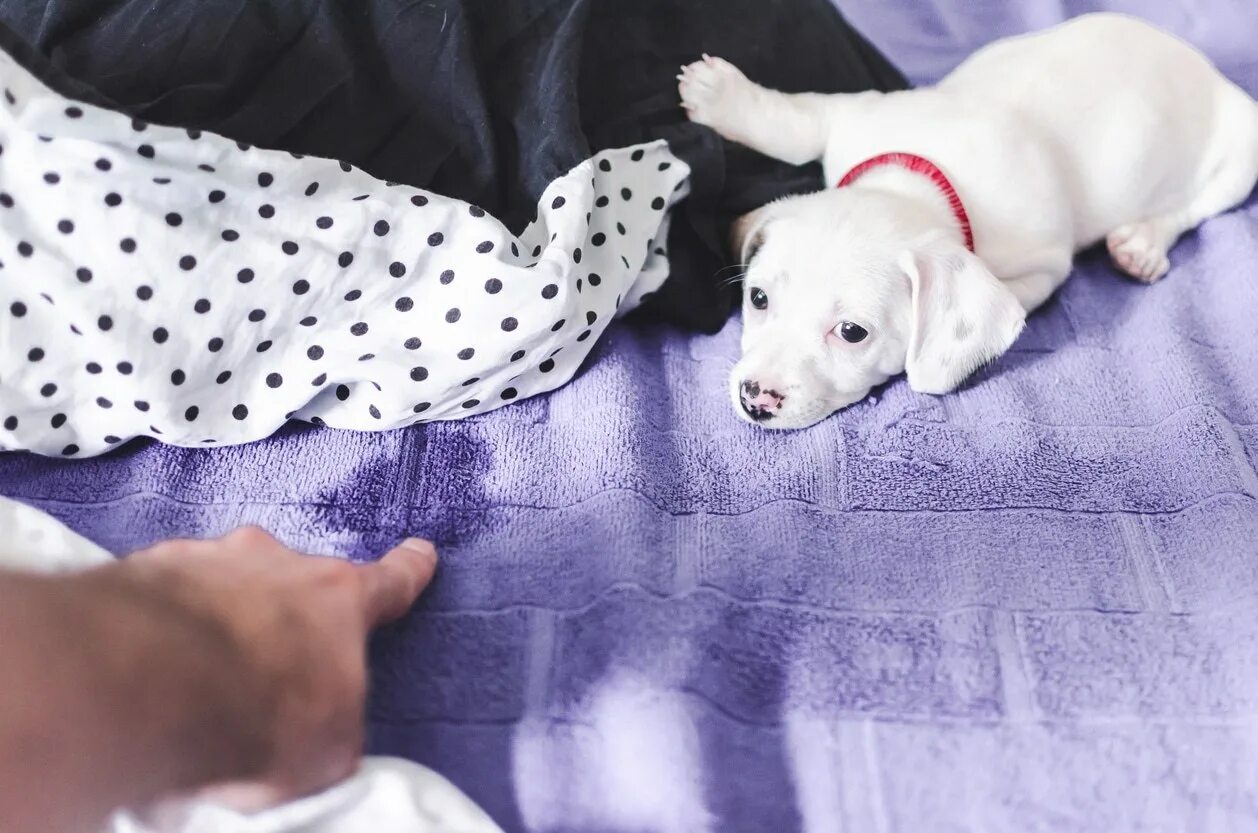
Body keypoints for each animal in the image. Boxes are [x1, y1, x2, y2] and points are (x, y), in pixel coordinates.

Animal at [679, 14, 1258, 430]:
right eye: (758, 299)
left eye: (851, 333)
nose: (754, 398)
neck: (922, 182)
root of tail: (1198, 61)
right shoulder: (856, 115)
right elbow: (800, 124)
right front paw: (730, 99)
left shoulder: (1041, 267)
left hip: (1240, 154)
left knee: (1194, 206)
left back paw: (1143, 243)